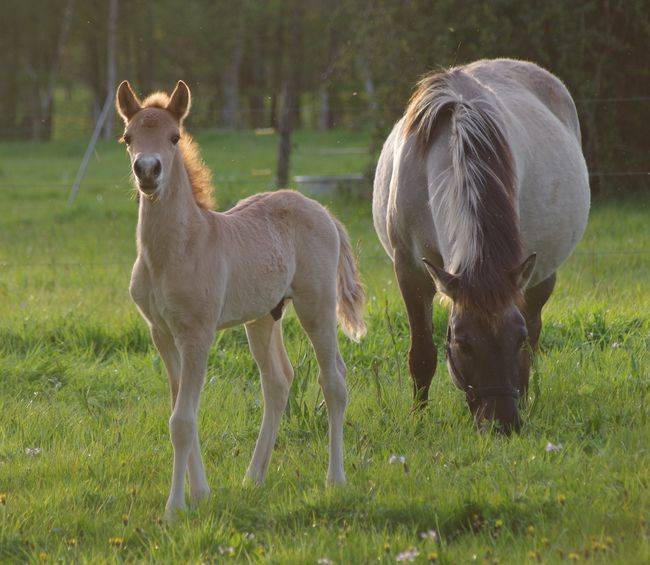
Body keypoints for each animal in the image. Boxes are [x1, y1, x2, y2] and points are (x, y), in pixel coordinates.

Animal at [115, 80, 365, 520]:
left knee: (334, 380)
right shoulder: (161, 333)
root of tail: (322, 210)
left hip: (316, 306)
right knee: (278, 382)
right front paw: (201, 493)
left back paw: (335, 479)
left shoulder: (197, 333)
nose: (147, 171)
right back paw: (254, 477)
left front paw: (175, 508)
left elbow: (182, 420)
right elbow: (181, 410)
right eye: (128, 137)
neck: (175, 251)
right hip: (263, 317)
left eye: (174, 137)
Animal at [373, 59, 590, 433]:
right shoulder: (410, 271)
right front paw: (418, 418)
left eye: (515, 338)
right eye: (462, 343)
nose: (501, 424)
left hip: (541, 276)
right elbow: (422, 353)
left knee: (536, 326)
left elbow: (529, 342)